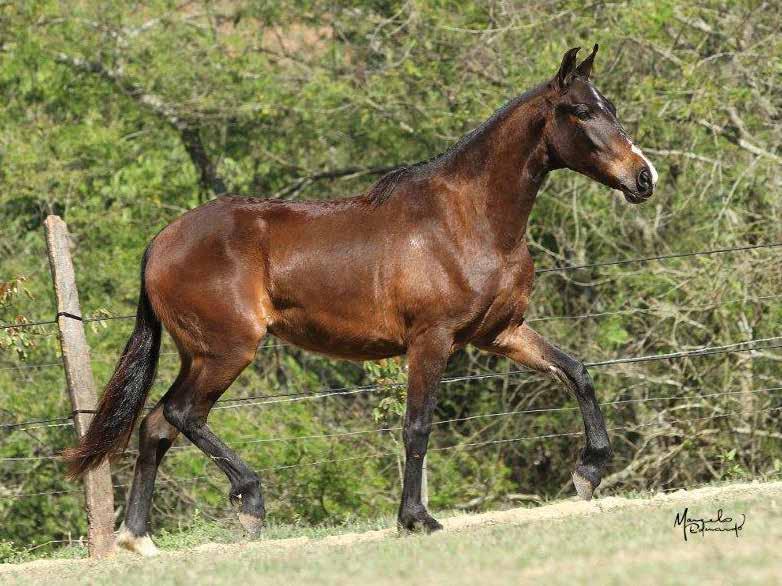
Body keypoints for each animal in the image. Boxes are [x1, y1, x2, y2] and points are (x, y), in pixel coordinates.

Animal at [64, 44, 660, 552]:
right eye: (580, 110)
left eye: (610, 106)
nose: (644, 177)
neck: (468, 220)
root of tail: (161, 243)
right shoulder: (432, 340)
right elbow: (417, 426)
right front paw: (416, 519)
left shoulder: (500, 333)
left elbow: (576, 371)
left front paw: (589, 471)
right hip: (227, 352)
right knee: (181, 415)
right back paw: (249, 505)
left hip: (201, 355)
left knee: (157, 426)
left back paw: (140, 539)